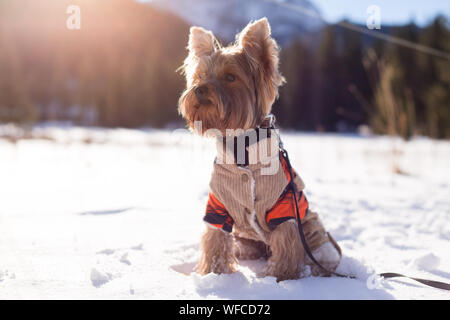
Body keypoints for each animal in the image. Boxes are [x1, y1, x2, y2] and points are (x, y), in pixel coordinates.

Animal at [178, 18, 340, 282]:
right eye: (200, 76)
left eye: (230, 77)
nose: (200, 88)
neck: (240, 148)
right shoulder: (218, 203)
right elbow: (215, 237)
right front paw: (215, 272)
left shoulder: (284, 206)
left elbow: (286, 241)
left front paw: (279, 276)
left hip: (312, 231)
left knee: (321, 252)